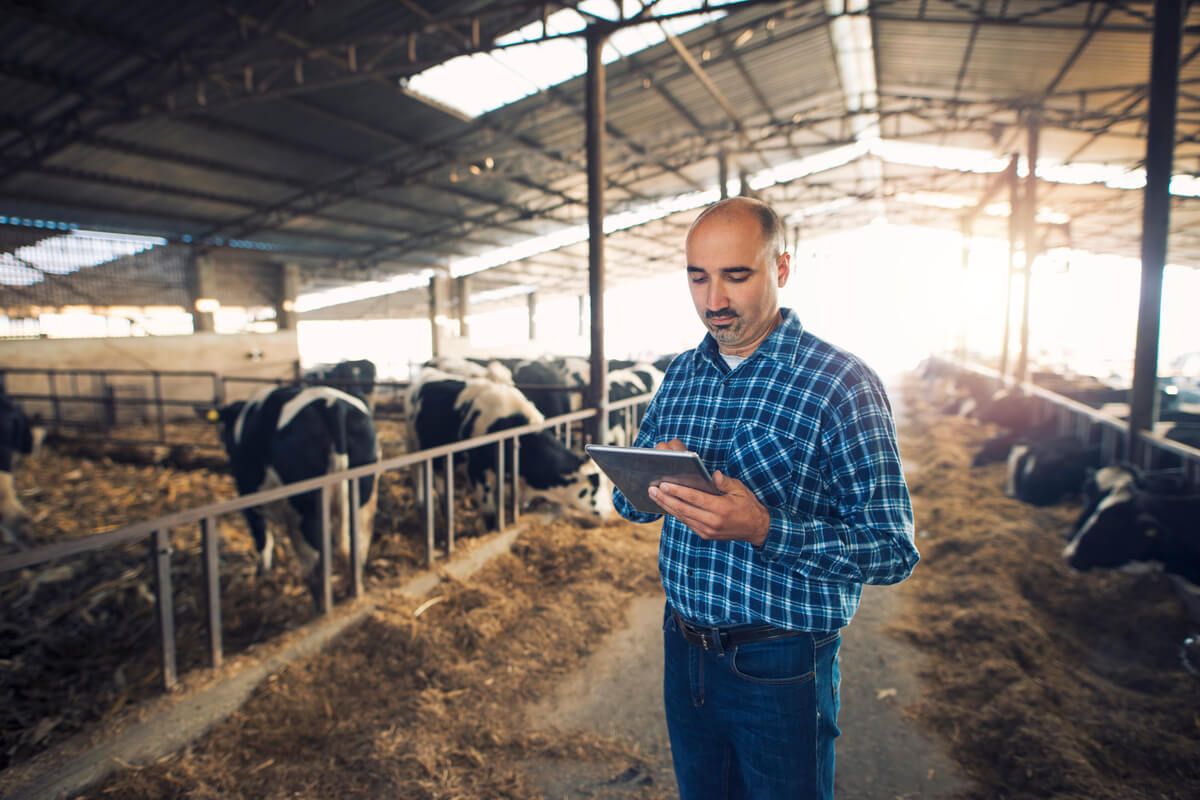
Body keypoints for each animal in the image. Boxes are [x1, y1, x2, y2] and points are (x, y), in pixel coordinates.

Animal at [212, 383, 379, 604]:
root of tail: (332, 405)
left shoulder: (247, 497)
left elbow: (262, 539)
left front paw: (263, 575)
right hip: (363, 503)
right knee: (357, 549)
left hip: (305, 513)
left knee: (316, 568)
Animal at [405, 367, 609, 522]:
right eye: (595, 486)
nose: (608, 511)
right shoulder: (477, 471)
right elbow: (490, 514)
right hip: (414, 442)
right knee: (418, 472)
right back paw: (422, 502)